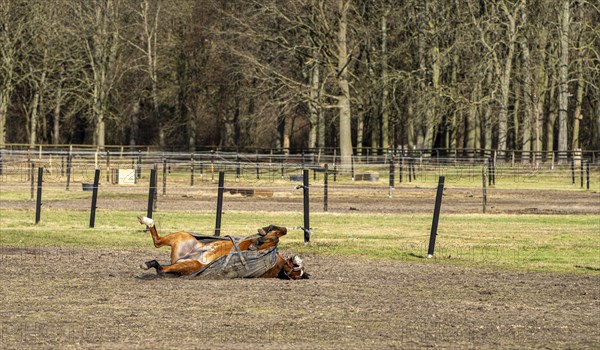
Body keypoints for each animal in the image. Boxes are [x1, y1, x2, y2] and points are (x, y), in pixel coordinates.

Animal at [137, 216, 310, 278]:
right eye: (297, 268)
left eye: (297, 272)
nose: (298, 260)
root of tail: (183, 257)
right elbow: (280, 232)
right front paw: (264, 231)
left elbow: (276, 238)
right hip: (182, 237)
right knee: (158, 241)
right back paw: (147, 220)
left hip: (190, 264)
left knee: (161, 266)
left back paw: (148, 264)